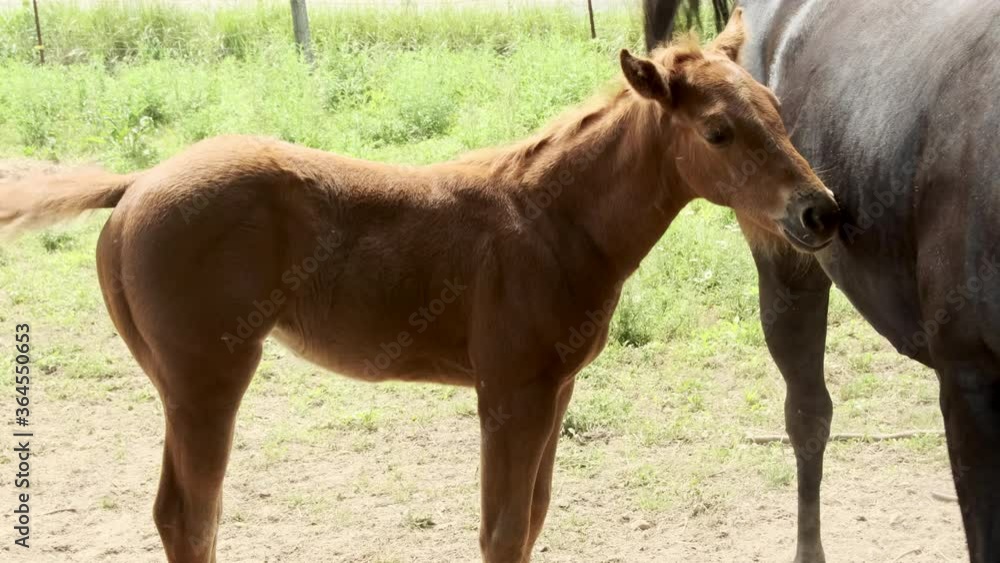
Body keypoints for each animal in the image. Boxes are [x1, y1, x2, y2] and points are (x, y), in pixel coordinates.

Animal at [0, 18, 839, 563]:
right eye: (719, 132)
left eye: (777, 112)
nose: (819, 211)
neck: (551, 218)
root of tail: (137, 183)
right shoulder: (510, 394)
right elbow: (501, 531)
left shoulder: (555, 389)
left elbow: (531, 520)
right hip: (206, 381)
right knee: (187, 516)